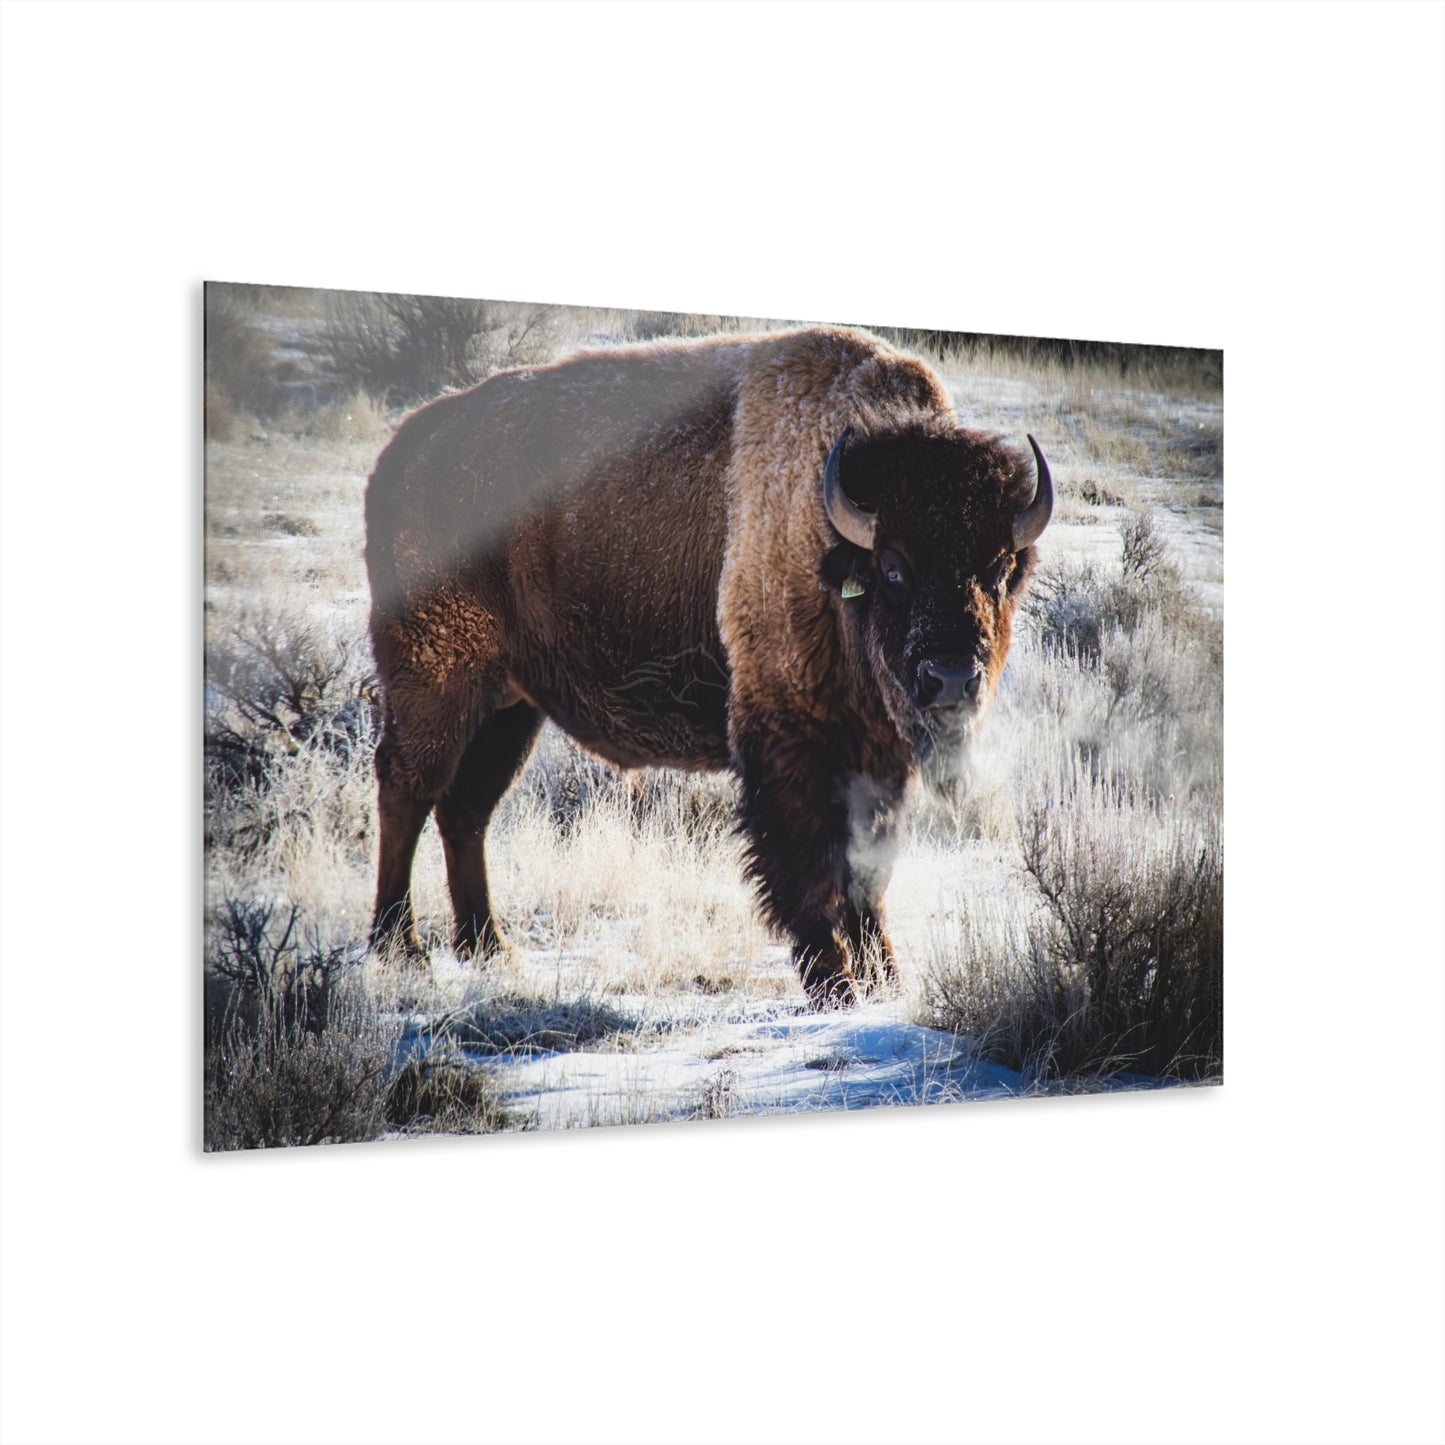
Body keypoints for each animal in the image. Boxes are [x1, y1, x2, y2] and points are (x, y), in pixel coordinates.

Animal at [364, 326, 1052, 1003]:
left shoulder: (877, 757)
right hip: (436, 681)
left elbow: (868, 871)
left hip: (510, 706)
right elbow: (811, 865)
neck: (830, 536)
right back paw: (401, 947)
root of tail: (400, 454)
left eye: (998, 570)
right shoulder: (792, 741)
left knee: (466, 810)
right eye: (893, 568)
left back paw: (487, 947)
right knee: (408, 789)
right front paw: (835, 984)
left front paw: (885, 979)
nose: (951, 679)